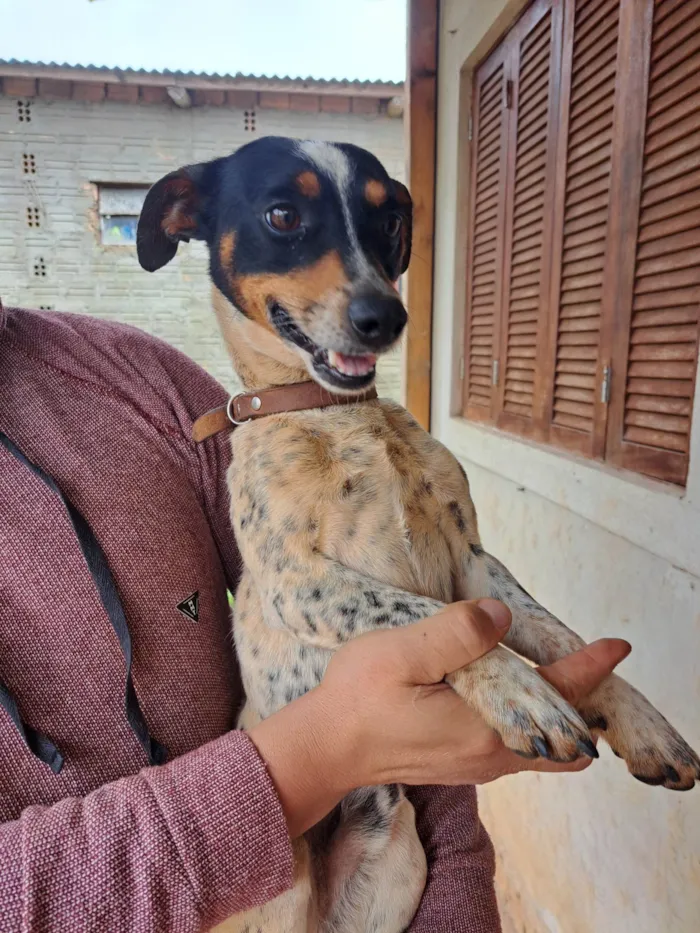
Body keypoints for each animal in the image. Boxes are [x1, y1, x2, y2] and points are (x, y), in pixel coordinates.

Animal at [138, 135, 700, 928]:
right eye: (282, 215)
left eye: (389, 218)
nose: (385, 317)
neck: (337, 416)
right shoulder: (301, 584)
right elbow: (437, 615)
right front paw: (519, 690)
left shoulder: (472, 560)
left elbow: (561, 637)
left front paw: (642, 721)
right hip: (282, 894)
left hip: (395, 861)